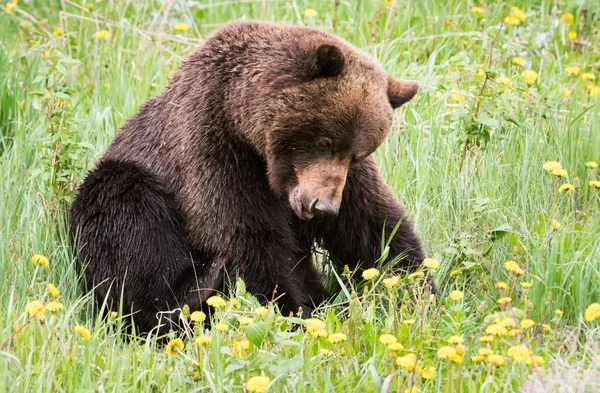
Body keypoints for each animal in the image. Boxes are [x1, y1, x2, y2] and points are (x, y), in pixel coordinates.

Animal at [70, 20, 424, 334]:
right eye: (326, 142)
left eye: (357, 154)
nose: (323, 206)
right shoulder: (212, 149)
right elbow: (249, 237)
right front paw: (294, 312)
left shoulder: (345, 184)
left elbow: (376, 228)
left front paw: (417, 293)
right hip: (126, 182)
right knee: (125, 216)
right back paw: (196, 287)